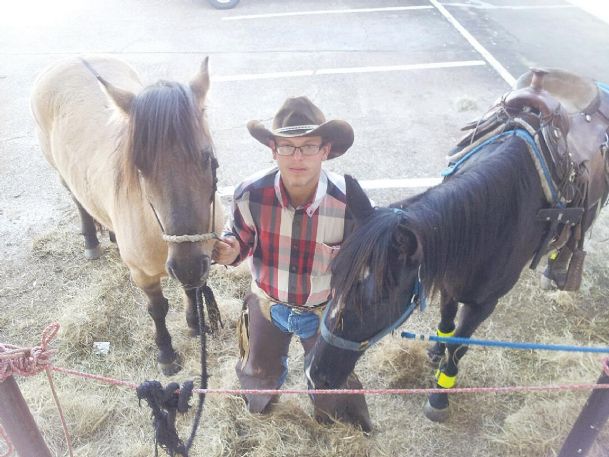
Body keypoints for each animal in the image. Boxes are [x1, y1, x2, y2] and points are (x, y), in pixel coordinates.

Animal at [30, 55, 223, 374]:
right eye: (140, 169)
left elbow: (192, 290)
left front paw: (196, 326)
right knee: (79, 202)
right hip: (61, 173)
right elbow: (157, 309)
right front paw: (166, 354)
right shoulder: (144, 276)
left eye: (207, 157)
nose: (186, 266)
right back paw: (91, 243)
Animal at [306, 68, 608, 424]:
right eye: (334, 276)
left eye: (377, 299)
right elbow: (446, 324)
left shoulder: (483, 303)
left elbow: (459, 344)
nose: (316, 376)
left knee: (578, 234)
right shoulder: (450, 280)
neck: (498, 215)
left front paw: (441, 393)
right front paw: (436, 348)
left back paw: (557, 269)